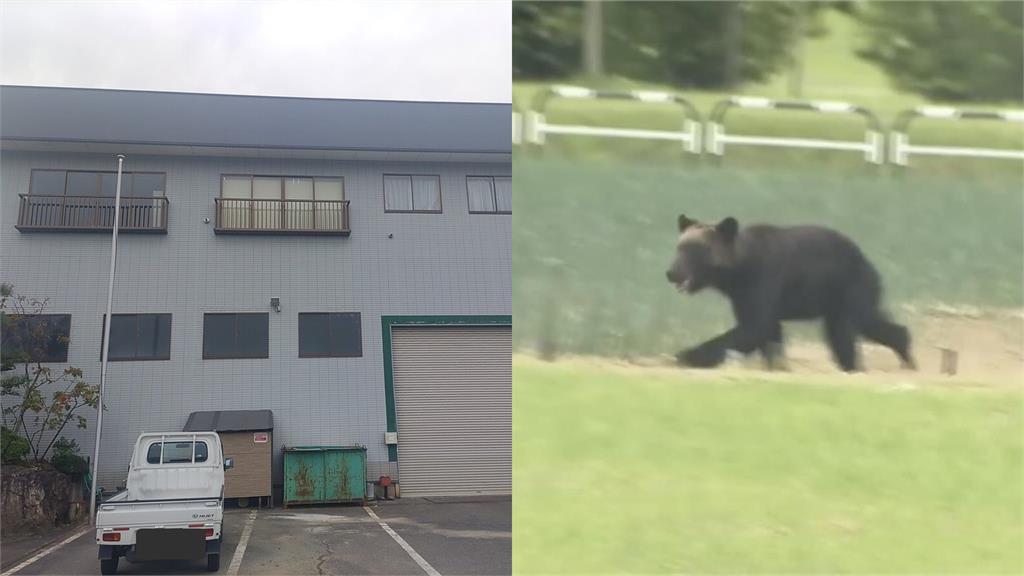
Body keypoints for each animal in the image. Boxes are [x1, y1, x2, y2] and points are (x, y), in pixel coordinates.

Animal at [665, 214, 916, 372]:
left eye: (696, 250)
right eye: (679, 247)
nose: (672, 273)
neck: (737, 272)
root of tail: (868, 260)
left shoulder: (763, 279)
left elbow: (753, 327)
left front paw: (683, 355)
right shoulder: (742, 295)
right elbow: (767, 331)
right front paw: (777, 365)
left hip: (849, 286)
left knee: (853, 327)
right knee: (856, 326)